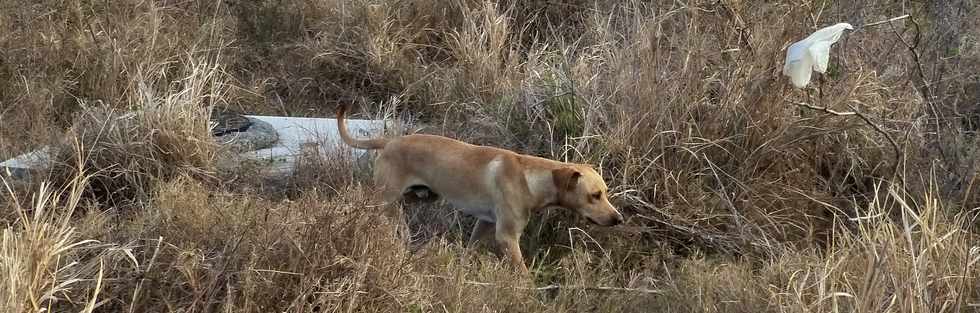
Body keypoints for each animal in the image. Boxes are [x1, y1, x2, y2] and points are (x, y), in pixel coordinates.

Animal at [334, 105, 620, 270]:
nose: (619, 219)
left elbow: (470, 249)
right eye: (595, 195)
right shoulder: (507, 237)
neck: (530, 177)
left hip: (418, 197)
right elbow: (523, 275)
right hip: (388, 201)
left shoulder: (485, 224)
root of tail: (389, 142)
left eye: (605, 193)